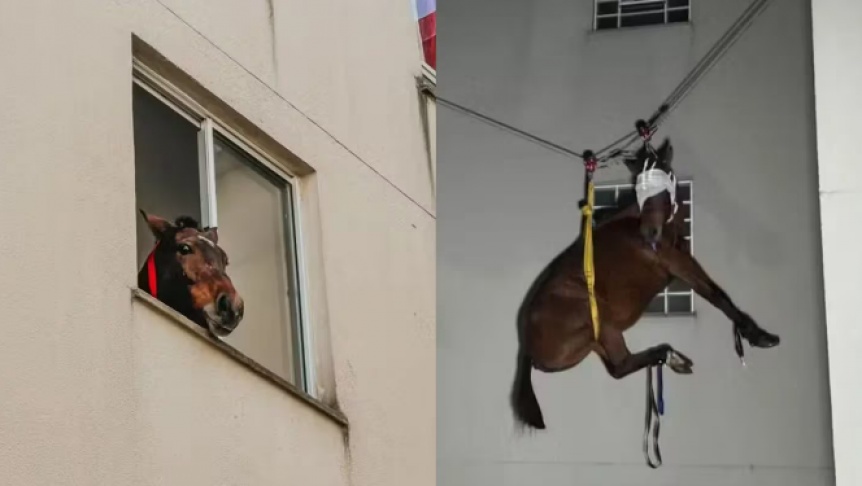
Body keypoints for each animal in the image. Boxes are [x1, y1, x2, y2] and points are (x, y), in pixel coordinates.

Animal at [512, 138, 784, 430]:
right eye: (641, 189)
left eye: (661, 182)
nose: (649, 234)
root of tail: (526, 345)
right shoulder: (678, 263)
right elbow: (717, 295)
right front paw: (757, 335)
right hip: (601, 322)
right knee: (622, 364)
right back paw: (671, 356)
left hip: (596, 341)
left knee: (618, 368)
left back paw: (672, 358)